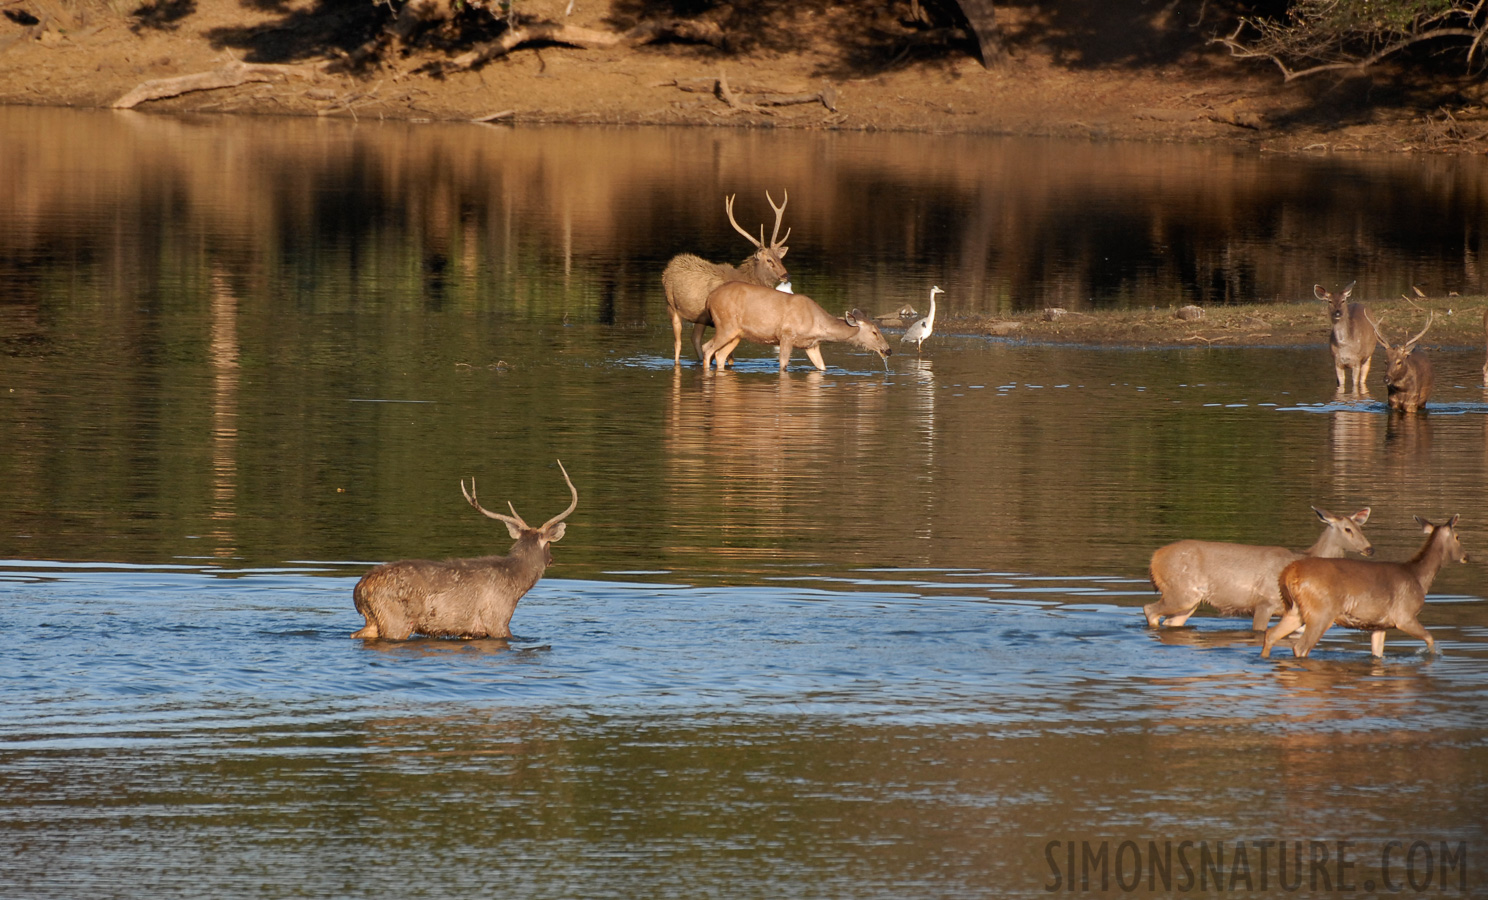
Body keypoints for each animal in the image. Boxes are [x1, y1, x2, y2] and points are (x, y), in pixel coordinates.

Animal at [351, 464, 577, 639]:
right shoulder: (497, 620)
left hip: (373, 620)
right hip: (394, 619)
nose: (551, 559)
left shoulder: (470, 630)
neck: (516, 583)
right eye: (549, 545)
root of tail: (360, 588)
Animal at [666, 190, 797, 364]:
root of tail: (670, 265)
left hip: (700, 318)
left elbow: (730, 358)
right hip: (671, 305)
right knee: (678, 343)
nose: (786, 274)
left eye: (780, 259)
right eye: (769, 260)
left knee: (695, 339)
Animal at [699, 281, 892, 371]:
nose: (888, 350)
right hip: (725, 324)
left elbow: (822, 367)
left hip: (737, 333)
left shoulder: (812, 345)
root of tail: (709, 298)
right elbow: (783, 364)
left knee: (720, 354)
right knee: (707, 348)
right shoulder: (786, 335)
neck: (817, 325)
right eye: (875, 332)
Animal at [1142, 505, 1374, 630]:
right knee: (1149, 609)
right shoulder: (1265, 601)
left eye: (1360, 528)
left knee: (1171, 621)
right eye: (1347, 529)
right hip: (1181, 590)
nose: (1369, 549)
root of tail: (1154, 559)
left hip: (1191, 599)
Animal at [1261, 514, 1470, 657]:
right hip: (1321, 611)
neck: (1418, 577)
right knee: (1300, 647)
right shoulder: (1404, 615)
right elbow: (1430, 638)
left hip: (1296, 610)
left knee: (1270, 634)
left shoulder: (1380, 624)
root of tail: (1289, 574)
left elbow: (1378, 653)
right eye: (1458, 537)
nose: (1466, 556)